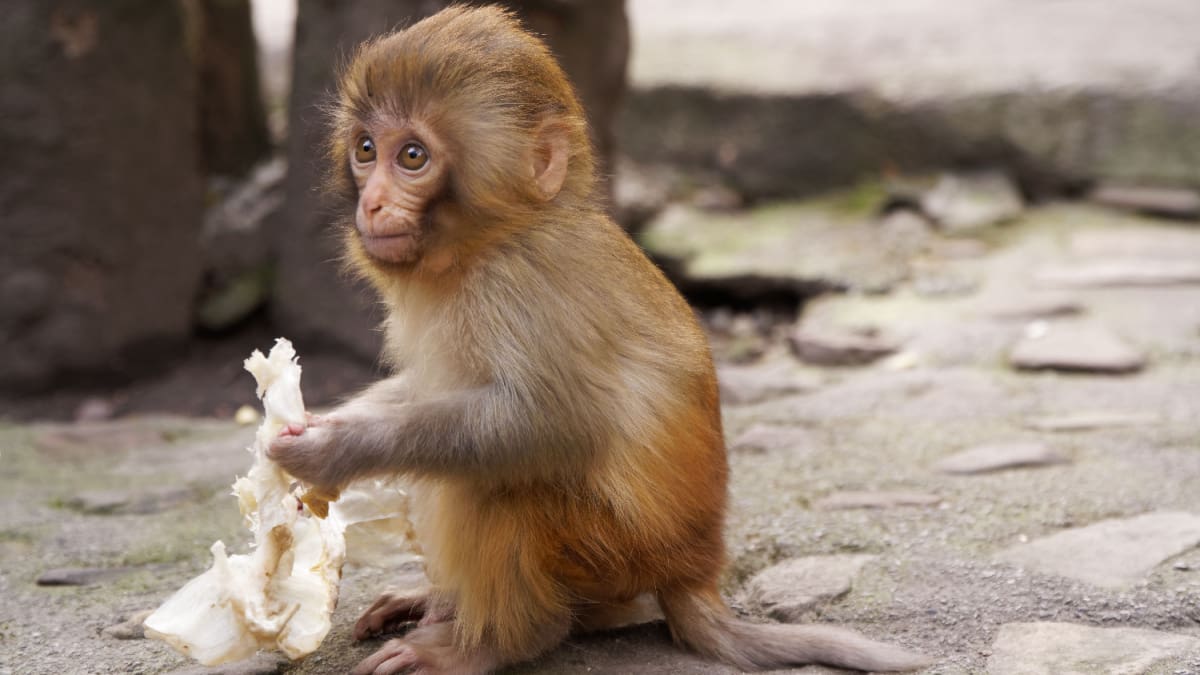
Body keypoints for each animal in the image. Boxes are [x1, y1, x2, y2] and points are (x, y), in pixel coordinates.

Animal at [268, 6, 933, 675]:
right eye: (366, 150)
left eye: (411, 156)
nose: (375, 202)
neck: (491, 240)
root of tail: (695, 571)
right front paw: (321, 426)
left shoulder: (521, 284)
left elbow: (547, 424)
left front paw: (337, 451)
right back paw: (446, 603)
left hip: (614, 553)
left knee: (498, 483)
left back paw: (495, 641)